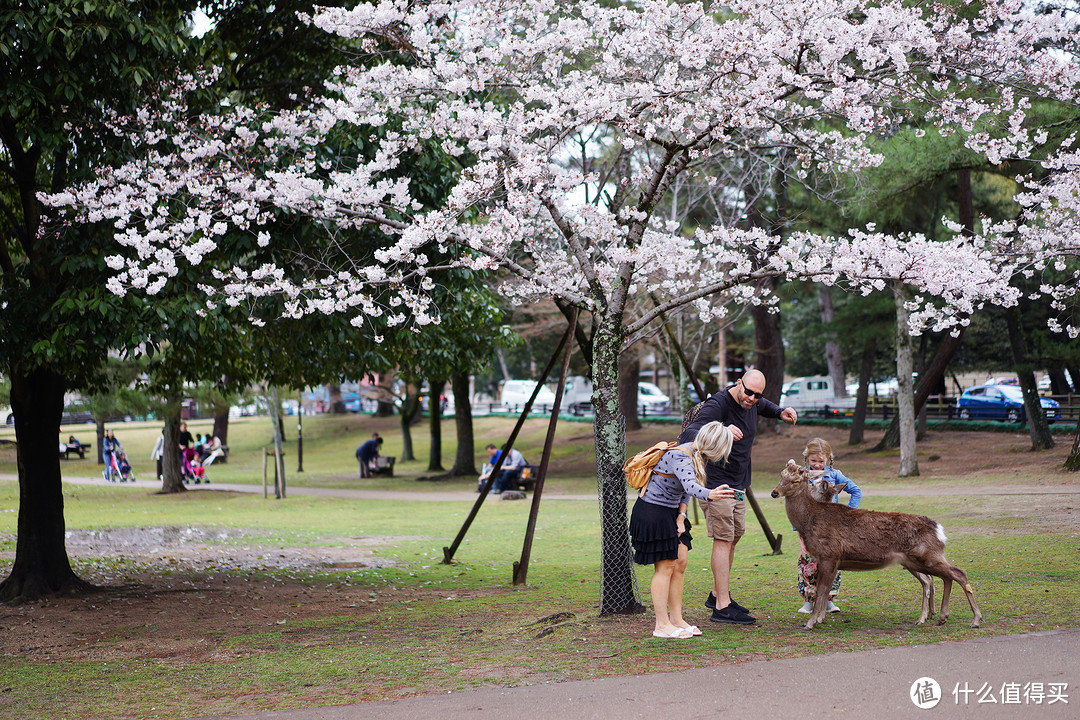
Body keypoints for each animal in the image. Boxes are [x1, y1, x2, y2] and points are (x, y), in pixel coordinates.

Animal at [768, 462, 980, 630]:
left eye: (796, 481)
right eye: (781, 475)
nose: (774, 492)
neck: (810, 522)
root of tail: (939, 530)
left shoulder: (829, 553)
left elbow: (820, 590)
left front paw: (810, 623)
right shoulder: (831, 560)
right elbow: (826, 590)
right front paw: (820, 619)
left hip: (928, 555)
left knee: (959, 573)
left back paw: (975, 619)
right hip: (916, 561)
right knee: (945, 577)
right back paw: (941, 617)